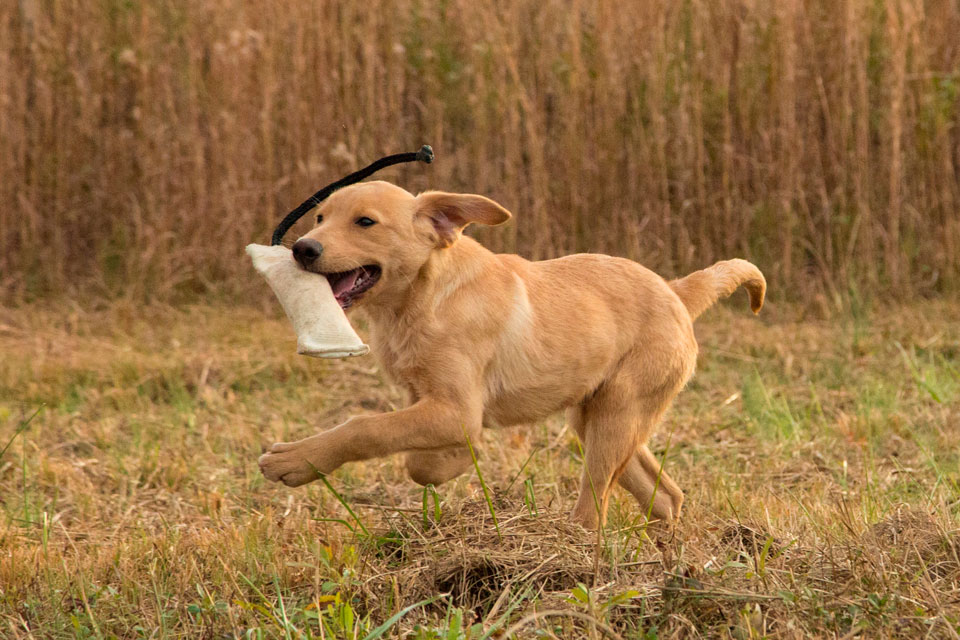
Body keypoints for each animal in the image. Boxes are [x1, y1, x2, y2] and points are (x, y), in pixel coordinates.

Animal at [256, 181, 764, 528]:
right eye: (320, 218)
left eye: (365, 222)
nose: (302, 249)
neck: (425, 297)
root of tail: (676, 291)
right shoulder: (422, 397)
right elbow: (407, 448)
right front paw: (451, 461)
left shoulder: (456, 409)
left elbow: (366, 428)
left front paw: (293, 460)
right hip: (599, 417)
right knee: (665, 496)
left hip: (618, 413)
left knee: (595, 506)